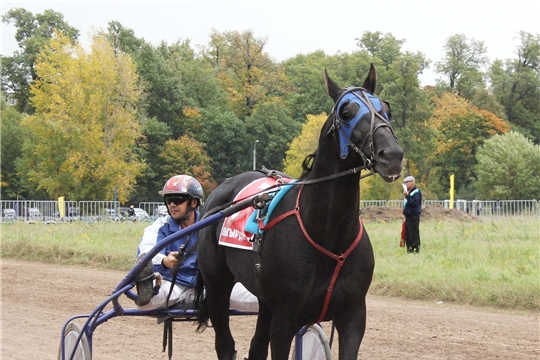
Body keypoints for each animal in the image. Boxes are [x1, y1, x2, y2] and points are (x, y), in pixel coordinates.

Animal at [196, 65, 402, 360]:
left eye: (386, 109)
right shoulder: (285, 318)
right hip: (217, 285)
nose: (392, 155)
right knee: (225, 343)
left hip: (264, 298)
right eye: (346, 113)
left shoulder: (353, 314)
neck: (329, 237)